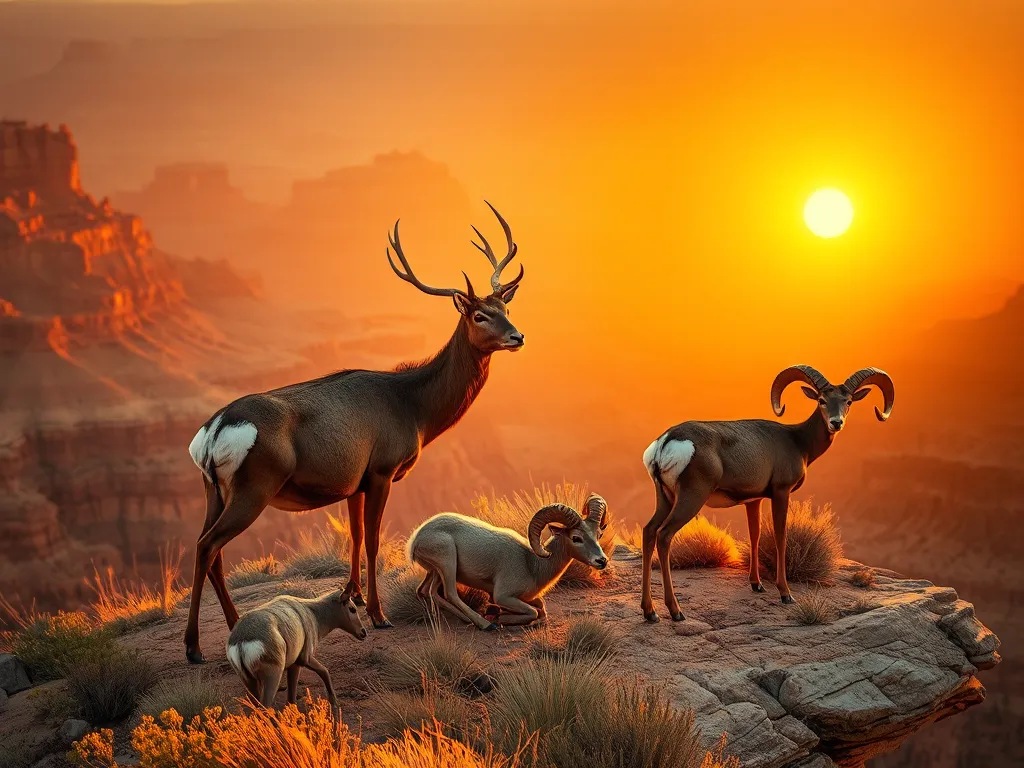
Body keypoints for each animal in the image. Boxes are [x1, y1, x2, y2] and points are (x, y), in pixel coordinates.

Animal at [183, 202, 525, 664]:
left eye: (506, 308)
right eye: (479, 314)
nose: (517, 336)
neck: (414, 409)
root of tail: (213, 431)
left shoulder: (352, 481)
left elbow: (355, 538)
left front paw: (355, 597)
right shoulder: (382, 468)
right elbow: (375, 541)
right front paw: (380, 615)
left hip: (213, 488)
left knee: (210, 548)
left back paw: (232, 626)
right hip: (255, 486)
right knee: (207, 546)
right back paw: (193, 648)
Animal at [226, 585, 366, 718]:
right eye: (352, 608)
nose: (363, 632)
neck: (311, 612)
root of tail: (241, 639)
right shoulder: (302, 660)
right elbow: (323, 672)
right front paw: (334, 702)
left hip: (249, 681)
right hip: (272, 678)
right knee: (264, 709)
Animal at [407, 494, 609, 630]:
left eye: (599, 534)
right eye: (576, 538)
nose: (602, 561)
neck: (532, 564)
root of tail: (415, 540)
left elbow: (541, 607)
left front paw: (497, 611)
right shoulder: (503, 596)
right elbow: (534, 612)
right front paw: (499, 615)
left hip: (435, 571)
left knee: (427, 591)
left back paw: (467, 619)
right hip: (448, 561)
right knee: (450, 593)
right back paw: (485, 624)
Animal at [639, 365, 894, 623]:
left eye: (848, 401)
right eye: (822, 400)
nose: (836, 422)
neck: (797, 441)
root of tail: (666, 443)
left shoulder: (754, 501)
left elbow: (755, 535)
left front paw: (757, 585)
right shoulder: (781, 493)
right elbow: (781, 537)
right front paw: (785, 594)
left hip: (666, 499)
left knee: (649, 531)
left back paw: (650, 612)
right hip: (690, 499)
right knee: (664, 536)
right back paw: (676, 612)